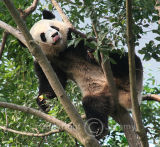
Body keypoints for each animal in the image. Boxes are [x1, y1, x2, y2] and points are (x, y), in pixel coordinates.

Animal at [28, 10, 142, 139]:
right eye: (43, 36)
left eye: (53, 27)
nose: (54, 35)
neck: (61, 51)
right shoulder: (44, 60)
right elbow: (50, 83)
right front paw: (45, 100)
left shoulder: (75, 40)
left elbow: (92, 44)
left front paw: (92, 53)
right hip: (96, 91)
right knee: (93, 105)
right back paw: (98, 131)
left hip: (125, 72)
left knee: (122, 59)